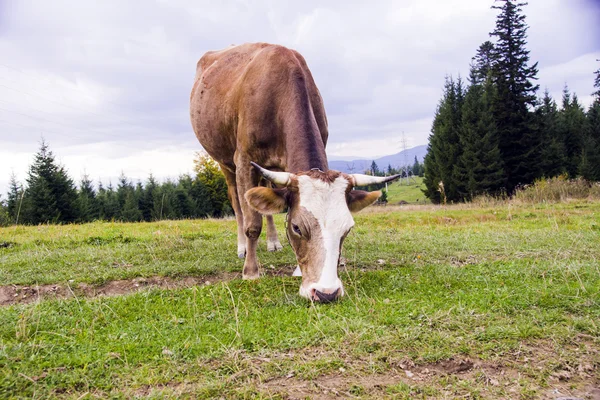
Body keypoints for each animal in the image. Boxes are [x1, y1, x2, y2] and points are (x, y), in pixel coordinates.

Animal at [190, 41, 400, 304]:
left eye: (347, 229)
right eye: (297, 227)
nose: (326, 293)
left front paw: (297, 268)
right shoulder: (244, 159)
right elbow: (252, 223)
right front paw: (250, 271)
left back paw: (273, 243)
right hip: (224, 162)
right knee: (239, 205)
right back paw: (242, 248)